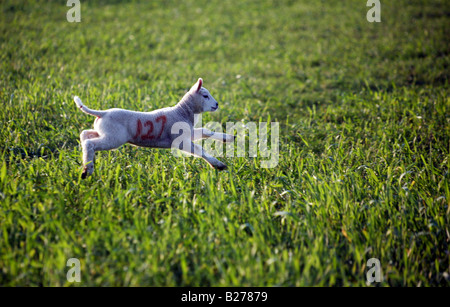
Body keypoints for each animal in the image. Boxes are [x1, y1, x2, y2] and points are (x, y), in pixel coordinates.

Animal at [73, 78, 236, 179]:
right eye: (205, 96)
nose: (217, 105)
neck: (182, 112)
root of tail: (103, 113)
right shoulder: (181, 141)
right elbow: (199, 149)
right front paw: (218, 165)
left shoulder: (188, 133)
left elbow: (205, 131)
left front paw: (228, 138)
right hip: (113, 138)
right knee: (90, 143)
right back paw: (87, 170)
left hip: (103, 132)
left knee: (85, 135)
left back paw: (87, 166)